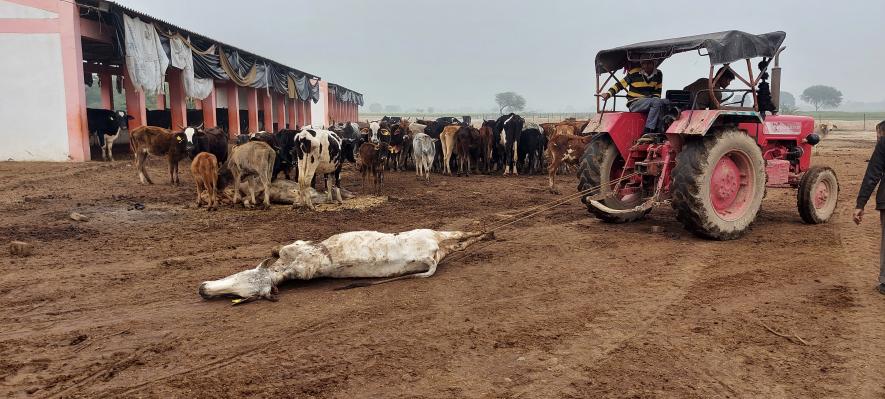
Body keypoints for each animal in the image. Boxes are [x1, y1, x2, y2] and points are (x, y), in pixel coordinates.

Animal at [197, 228, 494, 304]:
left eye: (243, 278)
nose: (202, 289)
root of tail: (432, 254)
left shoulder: (296, 246)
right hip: (441, 245)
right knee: (461, 242)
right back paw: (486, 235)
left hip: (436, 234)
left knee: (461, 235)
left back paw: (487, 232)